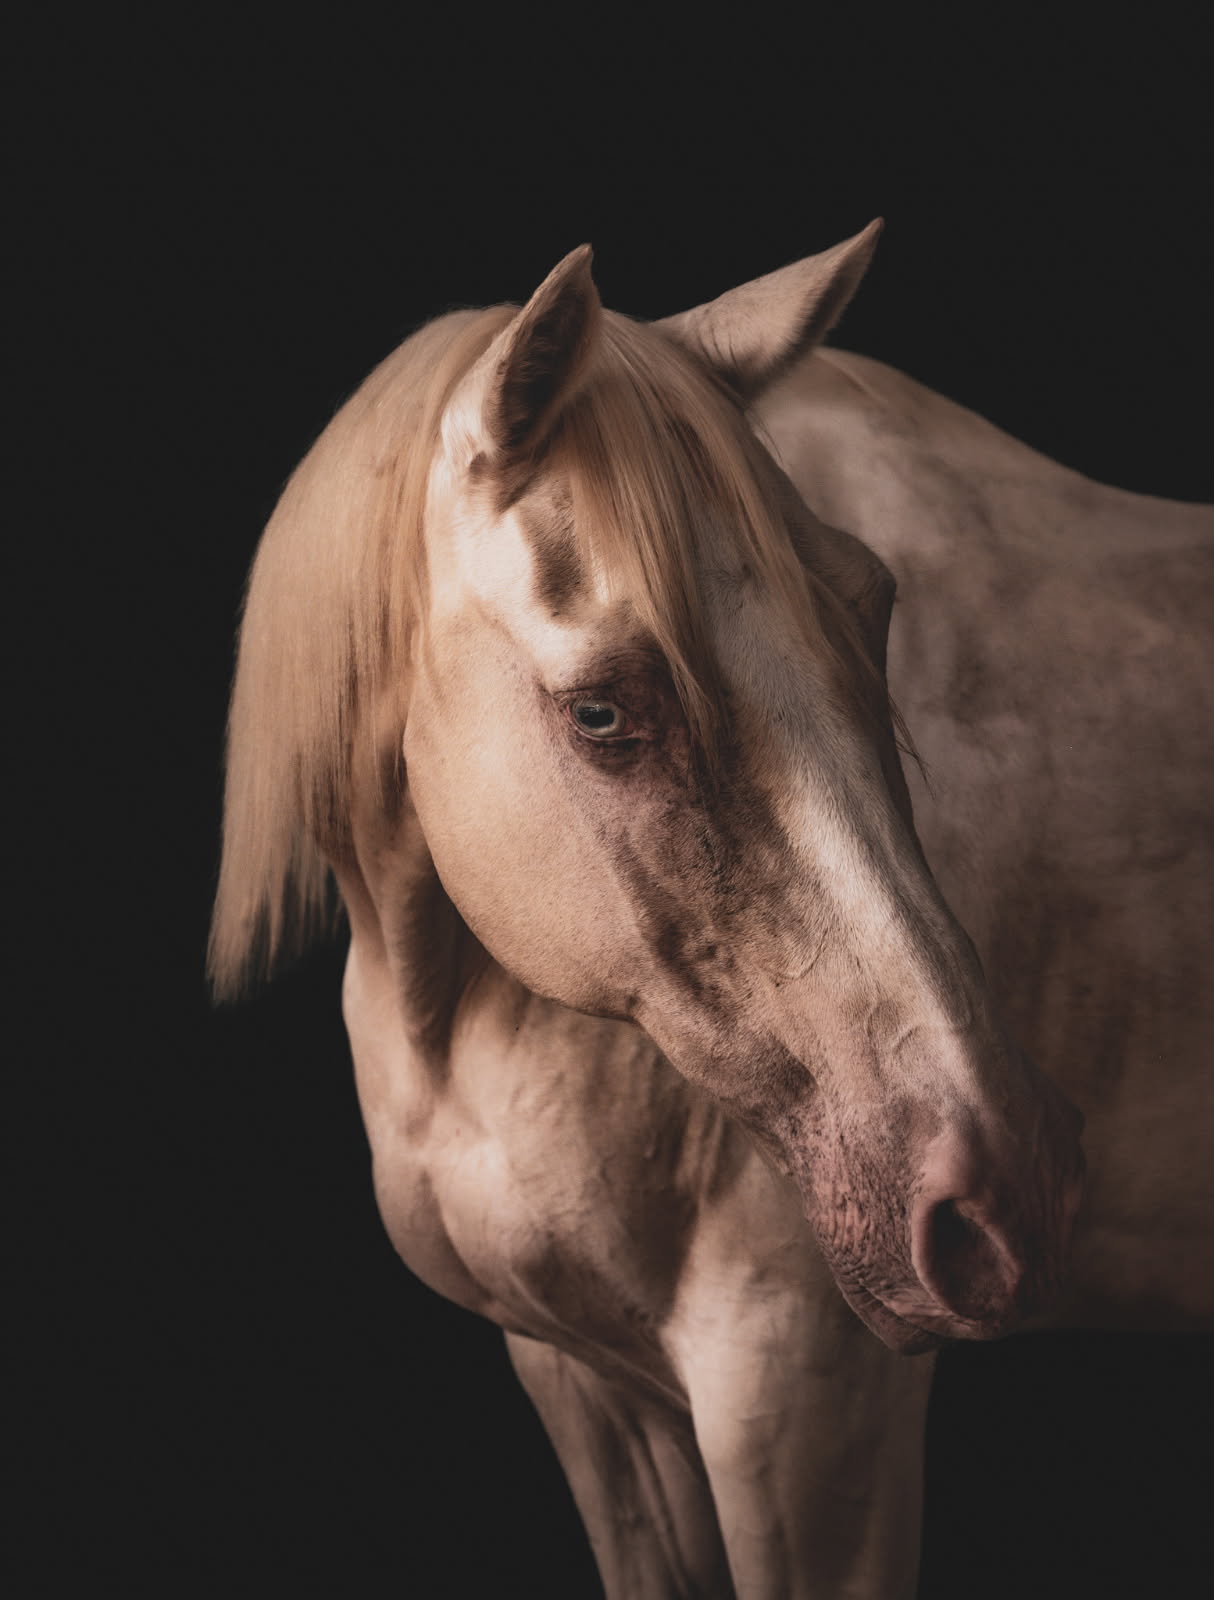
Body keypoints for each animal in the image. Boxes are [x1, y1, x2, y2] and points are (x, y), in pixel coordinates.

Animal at [209, 224, 1213, 1598]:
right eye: (602, 712)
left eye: (871, 606)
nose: (1016, 1191)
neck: (468, 1027)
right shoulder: (584, 1386)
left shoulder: (802, 1400)